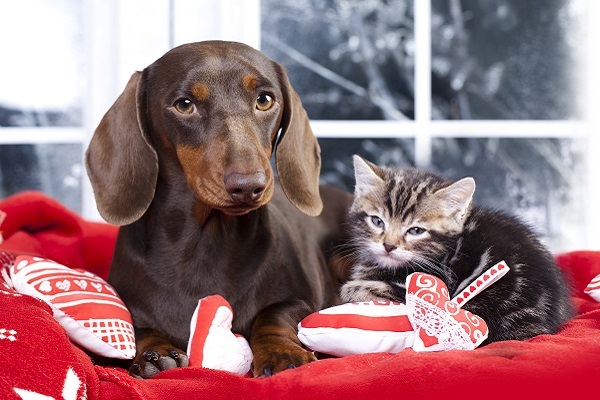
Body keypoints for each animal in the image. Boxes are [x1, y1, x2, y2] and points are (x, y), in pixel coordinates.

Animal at [84, 40, 352, 378]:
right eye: (184, 104)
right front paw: (154, 352)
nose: (249, 185)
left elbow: (274, 312)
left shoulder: (305, 301)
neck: (204, 241)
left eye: (264, 100)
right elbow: (138, 326)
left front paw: (280, 351)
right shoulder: (129, 303)